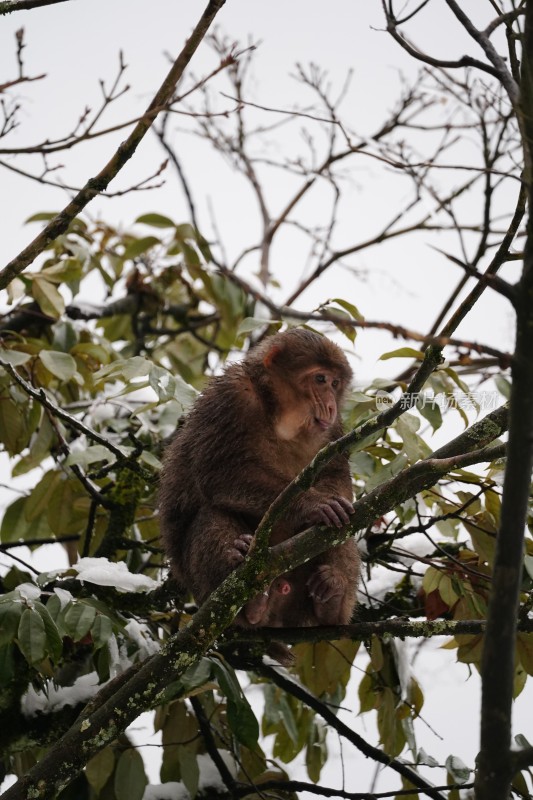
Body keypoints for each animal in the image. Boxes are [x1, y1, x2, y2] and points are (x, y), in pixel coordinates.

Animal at [157, 324, 358, 636]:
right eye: (320, 379)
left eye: (335, 383)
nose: (330, 405)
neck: (281, 418)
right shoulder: (230, 397)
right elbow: (218, 474)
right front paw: (313, 504)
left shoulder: (334, 429)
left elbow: (336, 478)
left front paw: (329, 504)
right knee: (210, 513)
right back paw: (246, 587)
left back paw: (332, 598)